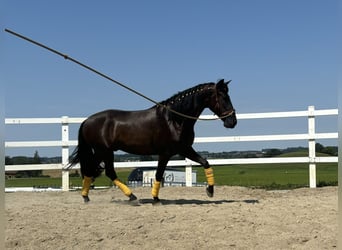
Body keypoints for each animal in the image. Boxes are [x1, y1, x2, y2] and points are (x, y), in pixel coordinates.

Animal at [68, 79, 236, 203]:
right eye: (223, 97)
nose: (232, 122)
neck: (175, 119)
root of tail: (87, 121)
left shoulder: (184, 149)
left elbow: (205, 162)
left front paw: (210, 191)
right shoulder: (166, 153)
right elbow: (158, 174)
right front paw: (156, 199)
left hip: (104, 152)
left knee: (100, 171)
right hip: (103, 151)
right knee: (100, 170)